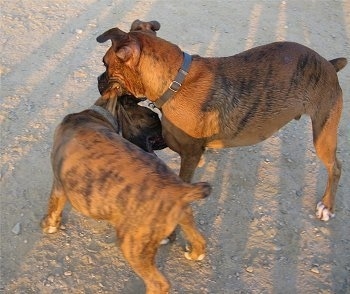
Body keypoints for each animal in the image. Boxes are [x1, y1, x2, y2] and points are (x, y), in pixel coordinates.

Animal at [41, 92, 211, 294]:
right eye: (152, 117)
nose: (165, 137)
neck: (96, 115)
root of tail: (179, 189)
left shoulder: (58, 185)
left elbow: (54, 206)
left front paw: (50, 225)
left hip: (132, 245)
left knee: (158, 283)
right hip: (184, 216)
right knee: (198, 239)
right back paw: (195, 253)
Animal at [96, 26, 348, 222]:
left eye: (105, 64)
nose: (99, 80)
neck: (176, 82)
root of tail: (328, 64)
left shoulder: (190, 155)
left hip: (323, 135)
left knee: (335, 167)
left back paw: (327, 206)